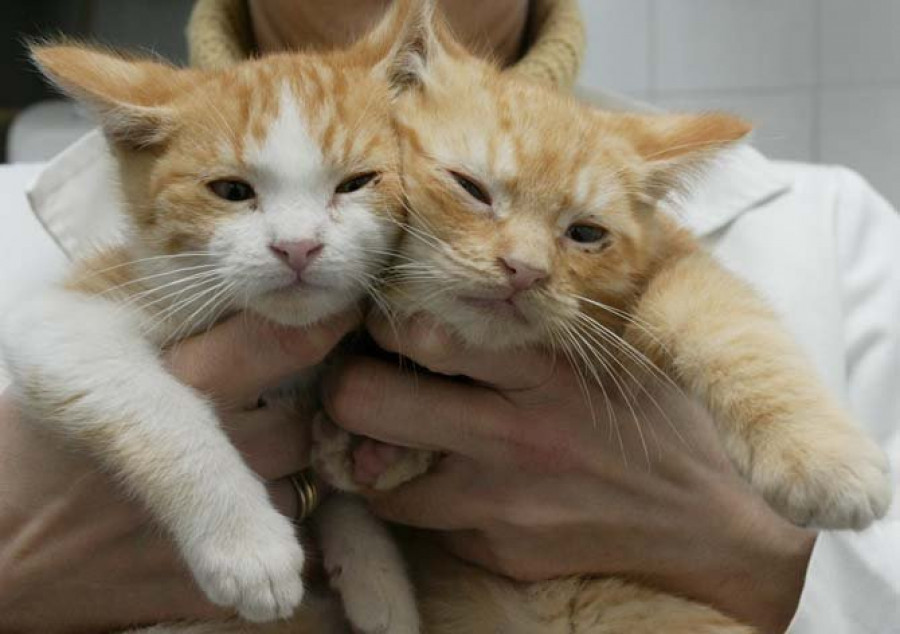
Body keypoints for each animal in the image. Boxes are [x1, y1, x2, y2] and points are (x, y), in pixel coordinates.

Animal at [0, 3, 428, 628]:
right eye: (231, 190)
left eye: (356, 183)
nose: (298, 247)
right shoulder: (60, 321)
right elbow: (153, 405)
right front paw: (246, 542)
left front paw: (377, 571)